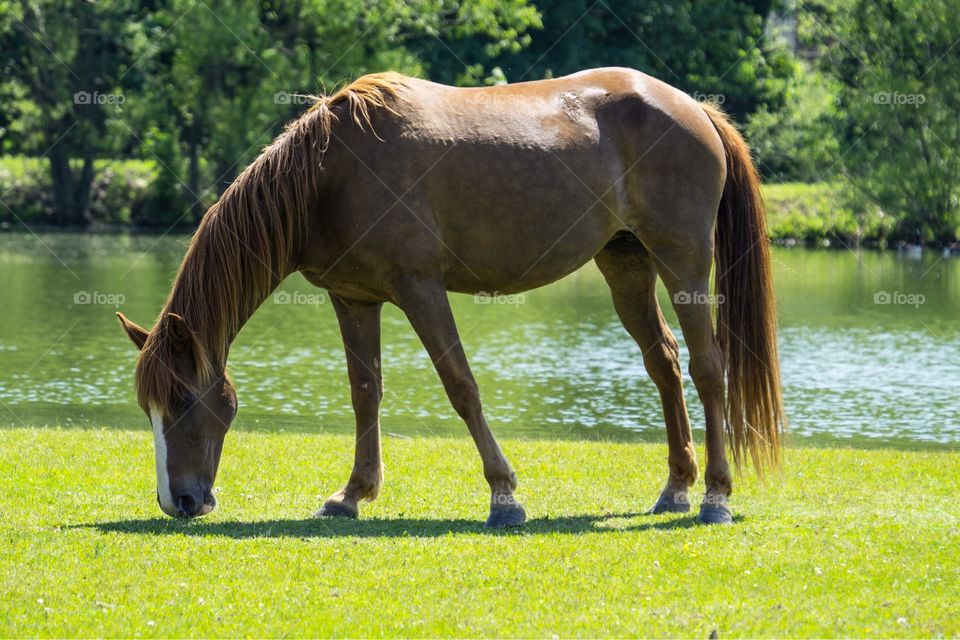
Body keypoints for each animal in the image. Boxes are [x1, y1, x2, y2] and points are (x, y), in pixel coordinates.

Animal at [116, 67, 784, 528]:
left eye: (182, 400)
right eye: (149, 405)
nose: (178, 501)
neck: (333, 173)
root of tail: (695, 108)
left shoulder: (421, 289)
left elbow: (460, 385)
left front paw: (504, 495)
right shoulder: (353, 299)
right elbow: (365, 394)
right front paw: (351, 494)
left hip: (683, 260)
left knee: (708, 368)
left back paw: (716, 496)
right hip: (626, 264)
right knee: (664, 363)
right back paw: (676, 488)